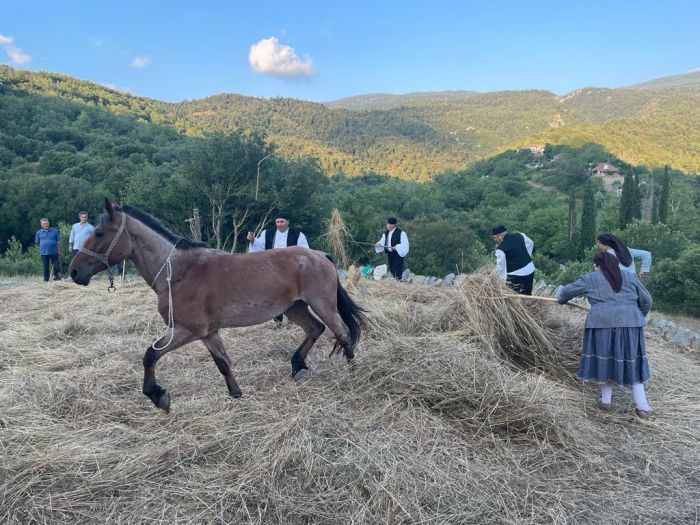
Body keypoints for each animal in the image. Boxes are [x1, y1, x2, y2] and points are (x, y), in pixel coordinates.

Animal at [70, 199, 366, 412]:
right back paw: (297, 365)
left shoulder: (188, 330)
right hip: (295, 308)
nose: (74, 272)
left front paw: (158, 396)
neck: (177, 271)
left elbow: (150, 355)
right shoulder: (208, 332)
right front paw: (235, 394)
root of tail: (320, 255)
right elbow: (222, 362)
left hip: (322, 305)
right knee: (315, 329)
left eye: (99, 233)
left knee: (342, 333)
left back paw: (352, 372)